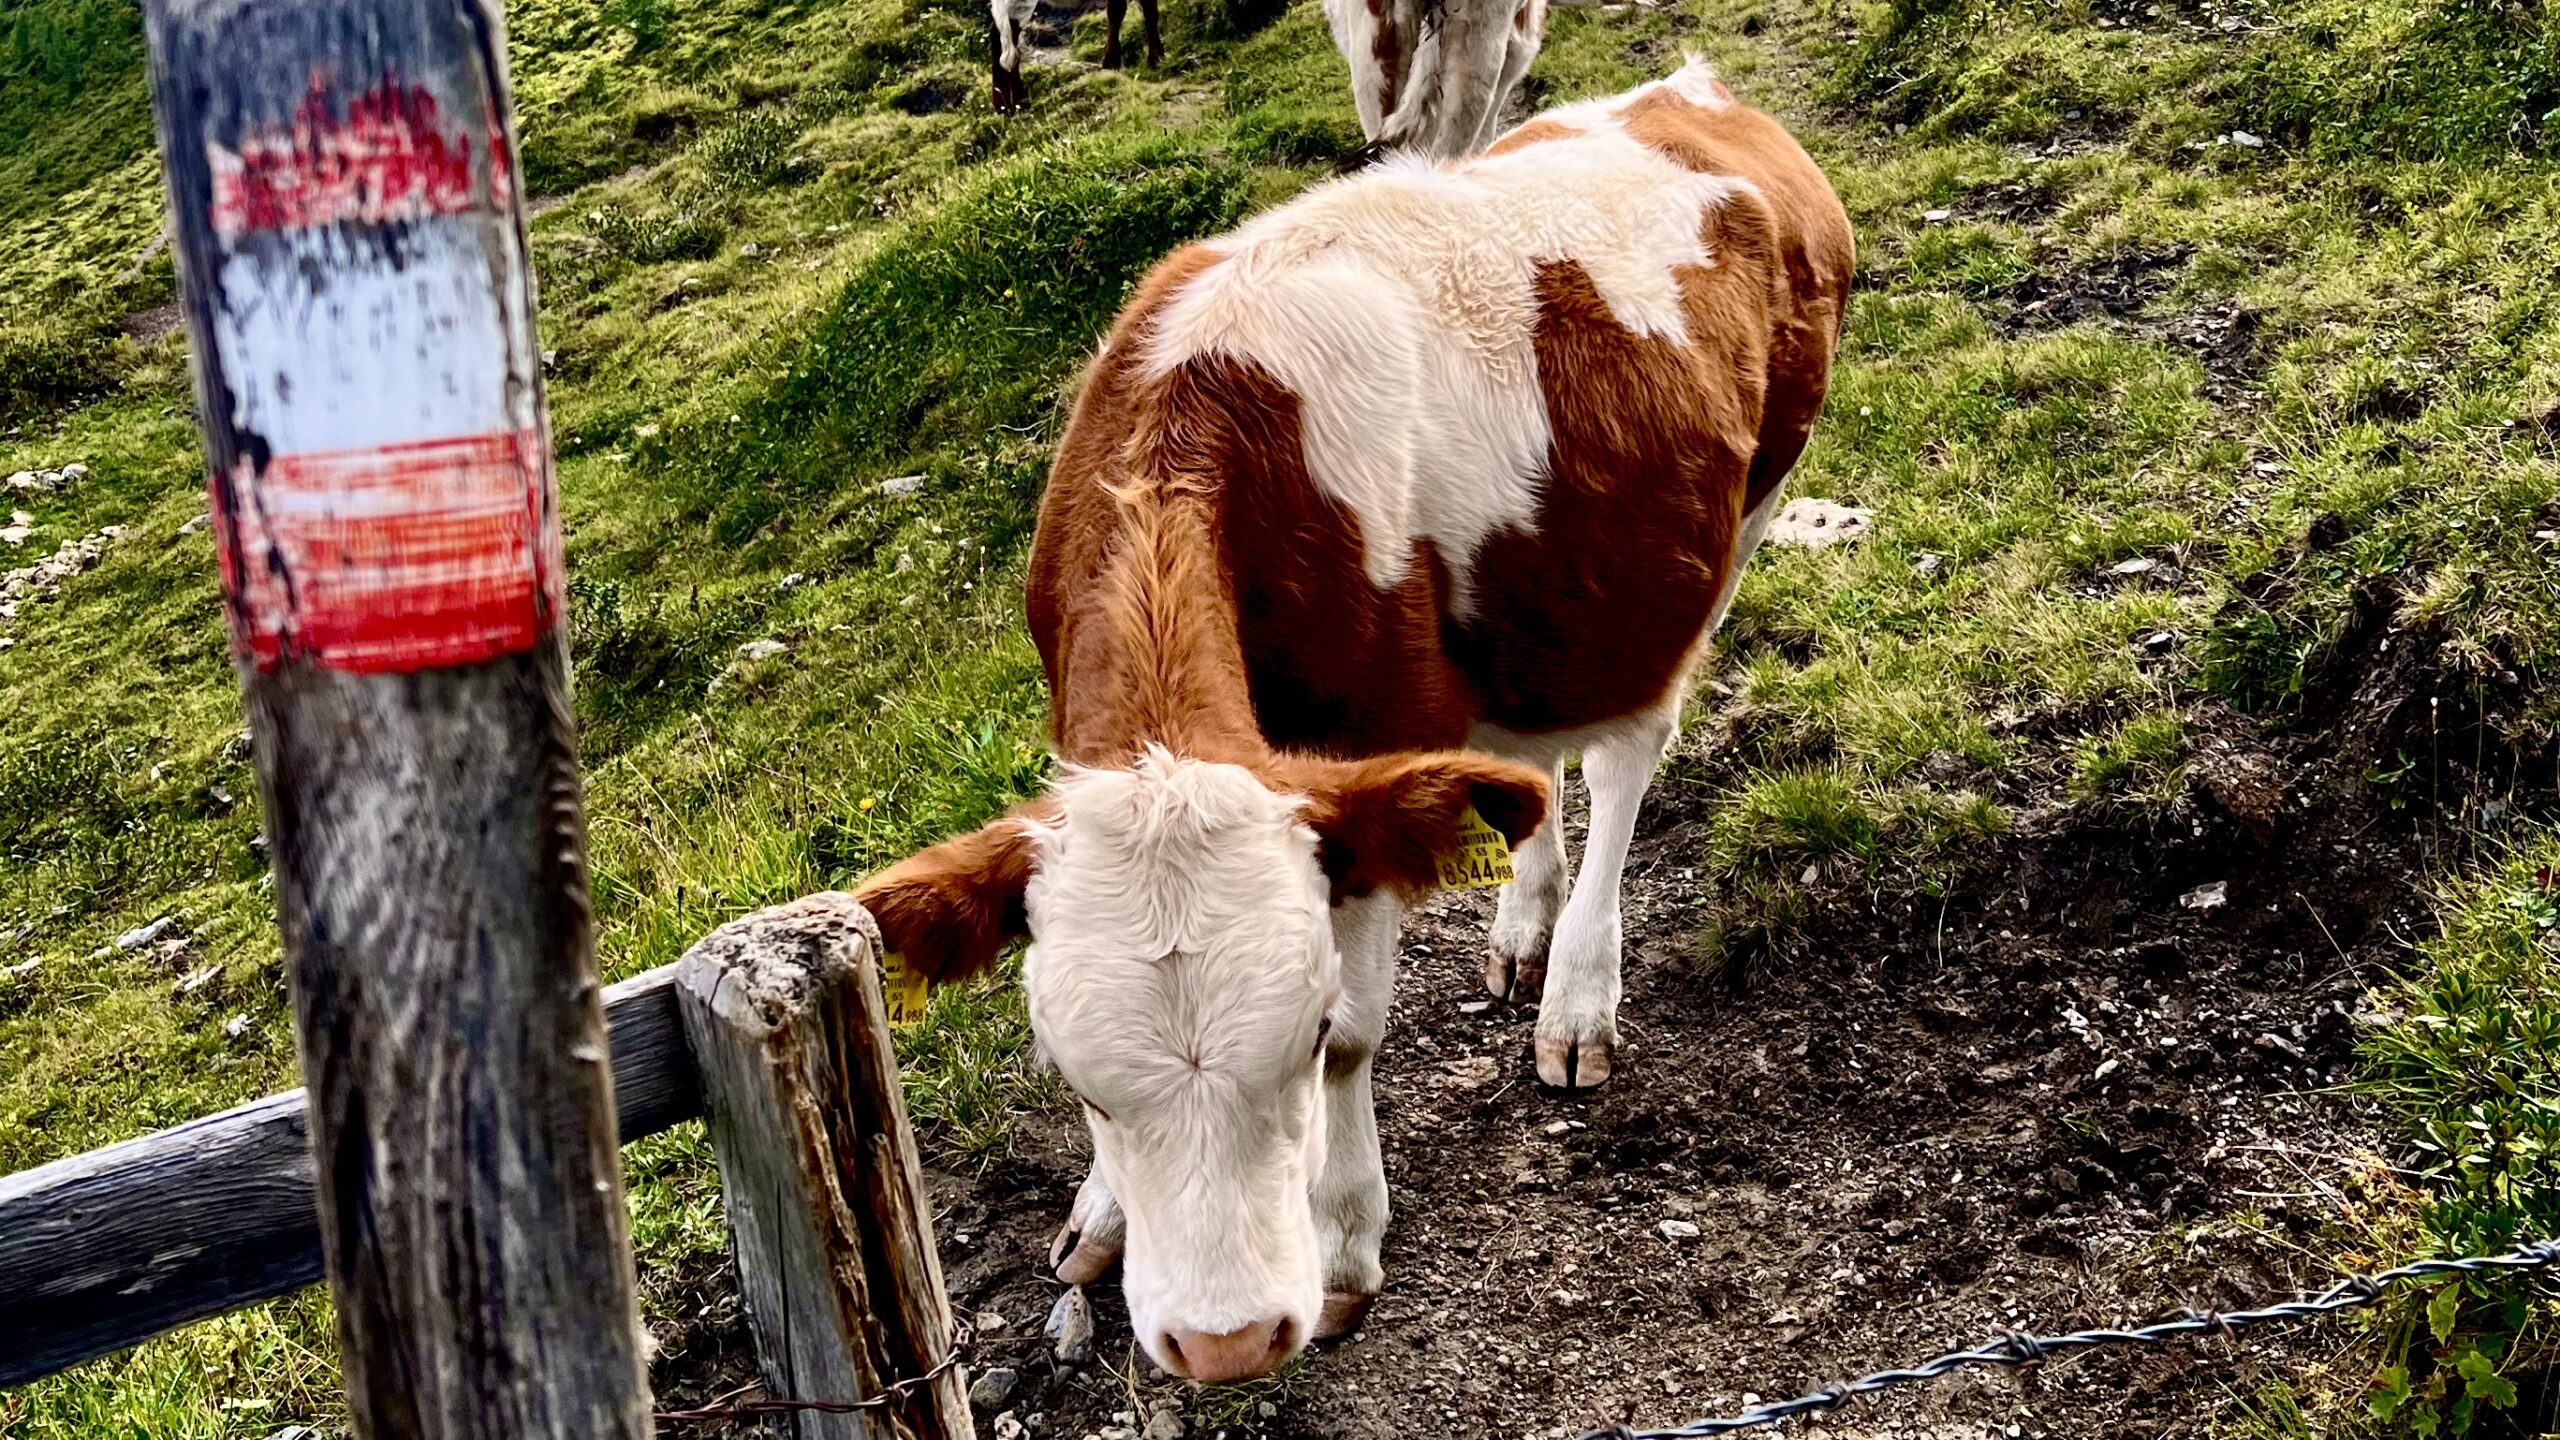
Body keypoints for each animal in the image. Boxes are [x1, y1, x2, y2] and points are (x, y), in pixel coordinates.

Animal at [860, 64, 1843, 1383]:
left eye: (1304, 1028)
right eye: (1073, 1081)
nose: (1223, 1344)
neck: (1204, 414)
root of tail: (1689, 89)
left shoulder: (1369, 765)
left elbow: (1364, 1041)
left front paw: (1338, 1247)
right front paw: (1102, 1212)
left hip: (1736, 517)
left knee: (1630, 754)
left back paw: (1576, 991)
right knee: (1529, 768)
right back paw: (1524, 921)